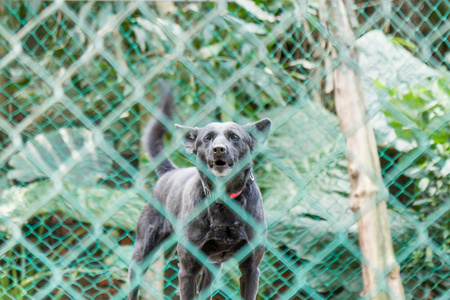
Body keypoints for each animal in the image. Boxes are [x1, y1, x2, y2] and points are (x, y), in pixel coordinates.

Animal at [128, 85, 272, 300]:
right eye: (207, 138)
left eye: (234, 137)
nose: (218, 149)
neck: (223, 201)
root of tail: (169, 171)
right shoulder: (187, 270)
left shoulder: (251, 269)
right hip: (142, 254)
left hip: (212, 268)